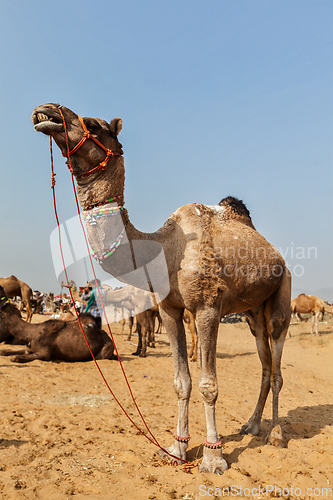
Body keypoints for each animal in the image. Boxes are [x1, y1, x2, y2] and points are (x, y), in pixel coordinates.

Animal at [32, 102, 290, 472]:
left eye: (94, 125)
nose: (47, 111)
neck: (166, 248)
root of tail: (276, 254)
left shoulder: (207, 308)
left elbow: (208, 384)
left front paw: (213, 457)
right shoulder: (169, 309)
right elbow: (181, 382)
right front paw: (176, 448)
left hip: (283, 291)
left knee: (278, 362)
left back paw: (277, 434)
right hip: (254, 312)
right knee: (266, 364)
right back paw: (252, 425)